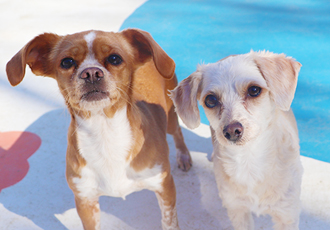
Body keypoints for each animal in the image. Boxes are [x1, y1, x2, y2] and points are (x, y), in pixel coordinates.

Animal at [6, 29, 192, 230]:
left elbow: (169, 221)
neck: (104, 132)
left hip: (171, 116)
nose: (91, 73)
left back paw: (184, 156)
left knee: (177, 132)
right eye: (67, 62)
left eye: (115, 58)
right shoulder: (85, 201)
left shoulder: (164, 187)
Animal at [171, 51, 302, 229]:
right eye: (210, 100)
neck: (249, 160)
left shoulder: (286, 214)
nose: (232, 131)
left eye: (254, 90)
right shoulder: (238, 210)